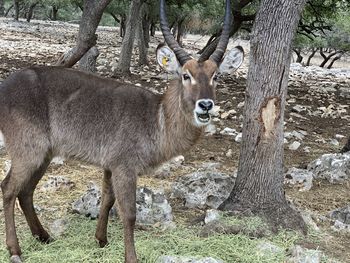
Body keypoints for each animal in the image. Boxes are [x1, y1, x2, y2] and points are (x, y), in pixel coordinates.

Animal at [0, 0, 243, 263]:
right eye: (185, 75)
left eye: (215, 75)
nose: (205, 105)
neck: (157, 117)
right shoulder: (125, 166)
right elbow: (129, 213)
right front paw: (130, 257)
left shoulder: (110, 166)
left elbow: (107, 200)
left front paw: (101, 240)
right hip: (28, 150)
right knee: (9, 188)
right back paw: (15, 250)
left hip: (44, 154)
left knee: (25, 192)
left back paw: (43, 236)